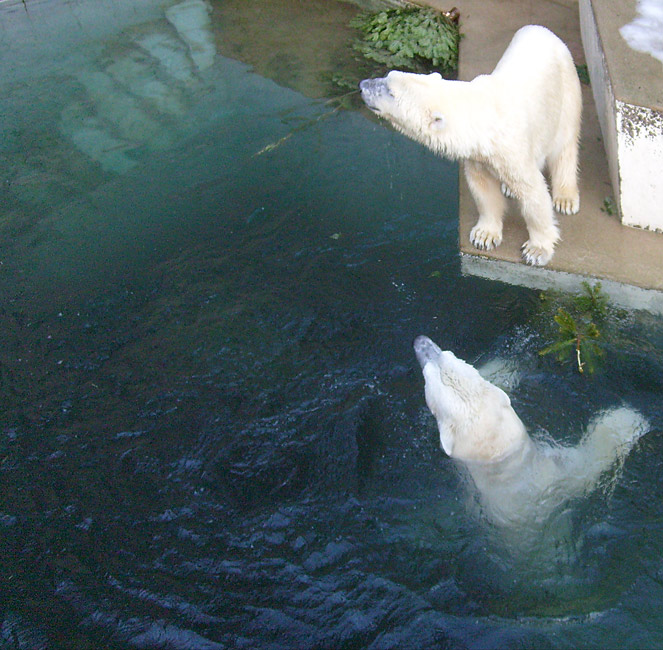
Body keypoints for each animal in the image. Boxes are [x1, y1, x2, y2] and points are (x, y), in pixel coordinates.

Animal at [360, 25, 584, 264]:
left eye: (391, 92)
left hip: (567, 89)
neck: (483, 117)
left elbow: (534, 195)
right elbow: (483, 190)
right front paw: (484, 236)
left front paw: (537, 250)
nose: (363, 85)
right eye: (388, 75)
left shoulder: (511, 148)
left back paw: (565, 198)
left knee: (564, 146)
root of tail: (541, 30)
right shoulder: (478, 156)